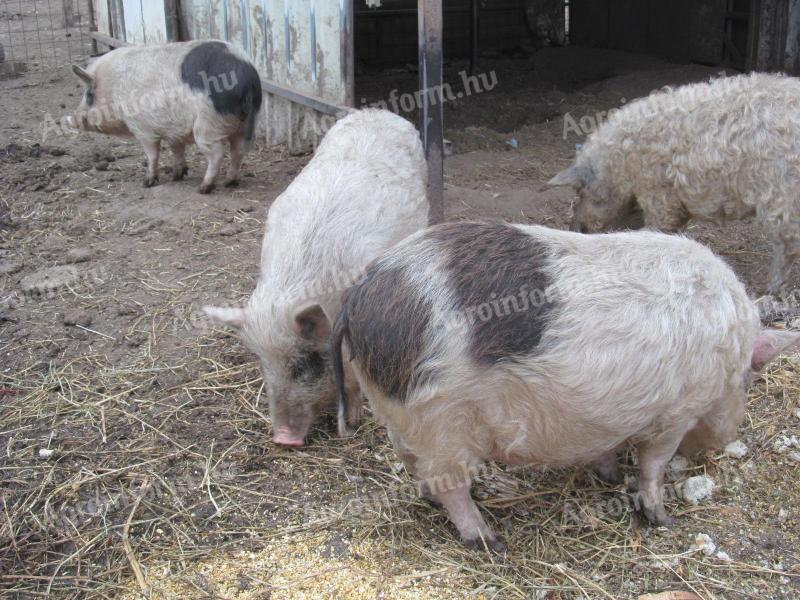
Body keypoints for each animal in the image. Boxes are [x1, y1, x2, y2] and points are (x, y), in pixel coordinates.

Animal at [70, 39, 260, 193]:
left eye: (89, 95)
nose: (73, 119)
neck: (113, 90)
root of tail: (246, 77)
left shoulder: (142, 128)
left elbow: (152, 154)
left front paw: (147, 183)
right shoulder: (173, 131)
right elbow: (177, 151)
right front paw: (177, 176)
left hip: (208, 124)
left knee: (217, 153)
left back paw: (203, 188)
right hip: (247, 123)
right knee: (238, 151)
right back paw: (229, 182)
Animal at [206, 109, 432, 446]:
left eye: (307, 363)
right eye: (262, 362)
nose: (283, 439)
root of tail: (379, 111)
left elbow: (350, 371)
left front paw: (352, 422)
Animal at [332, 223, 800, 552]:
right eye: (749, 380)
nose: (720, 443)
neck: (730, 348)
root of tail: (358, 297)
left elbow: (608, 449)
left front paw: (611, 476)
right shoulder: (676, 413)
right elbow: (653, 467)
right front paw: (663, 520)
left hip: (397, 412)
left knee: (410, 460)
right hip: (441, 420)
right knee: (449, 484)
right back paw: (490, 541)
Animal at [552, 72, 800, 296]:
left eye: (580, 191)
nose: (574, 228)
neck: (621, 163)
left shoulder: (657, 192)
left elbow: (660, 226)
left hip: (781, 192)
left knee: (786, 243)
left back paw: (769, 291)